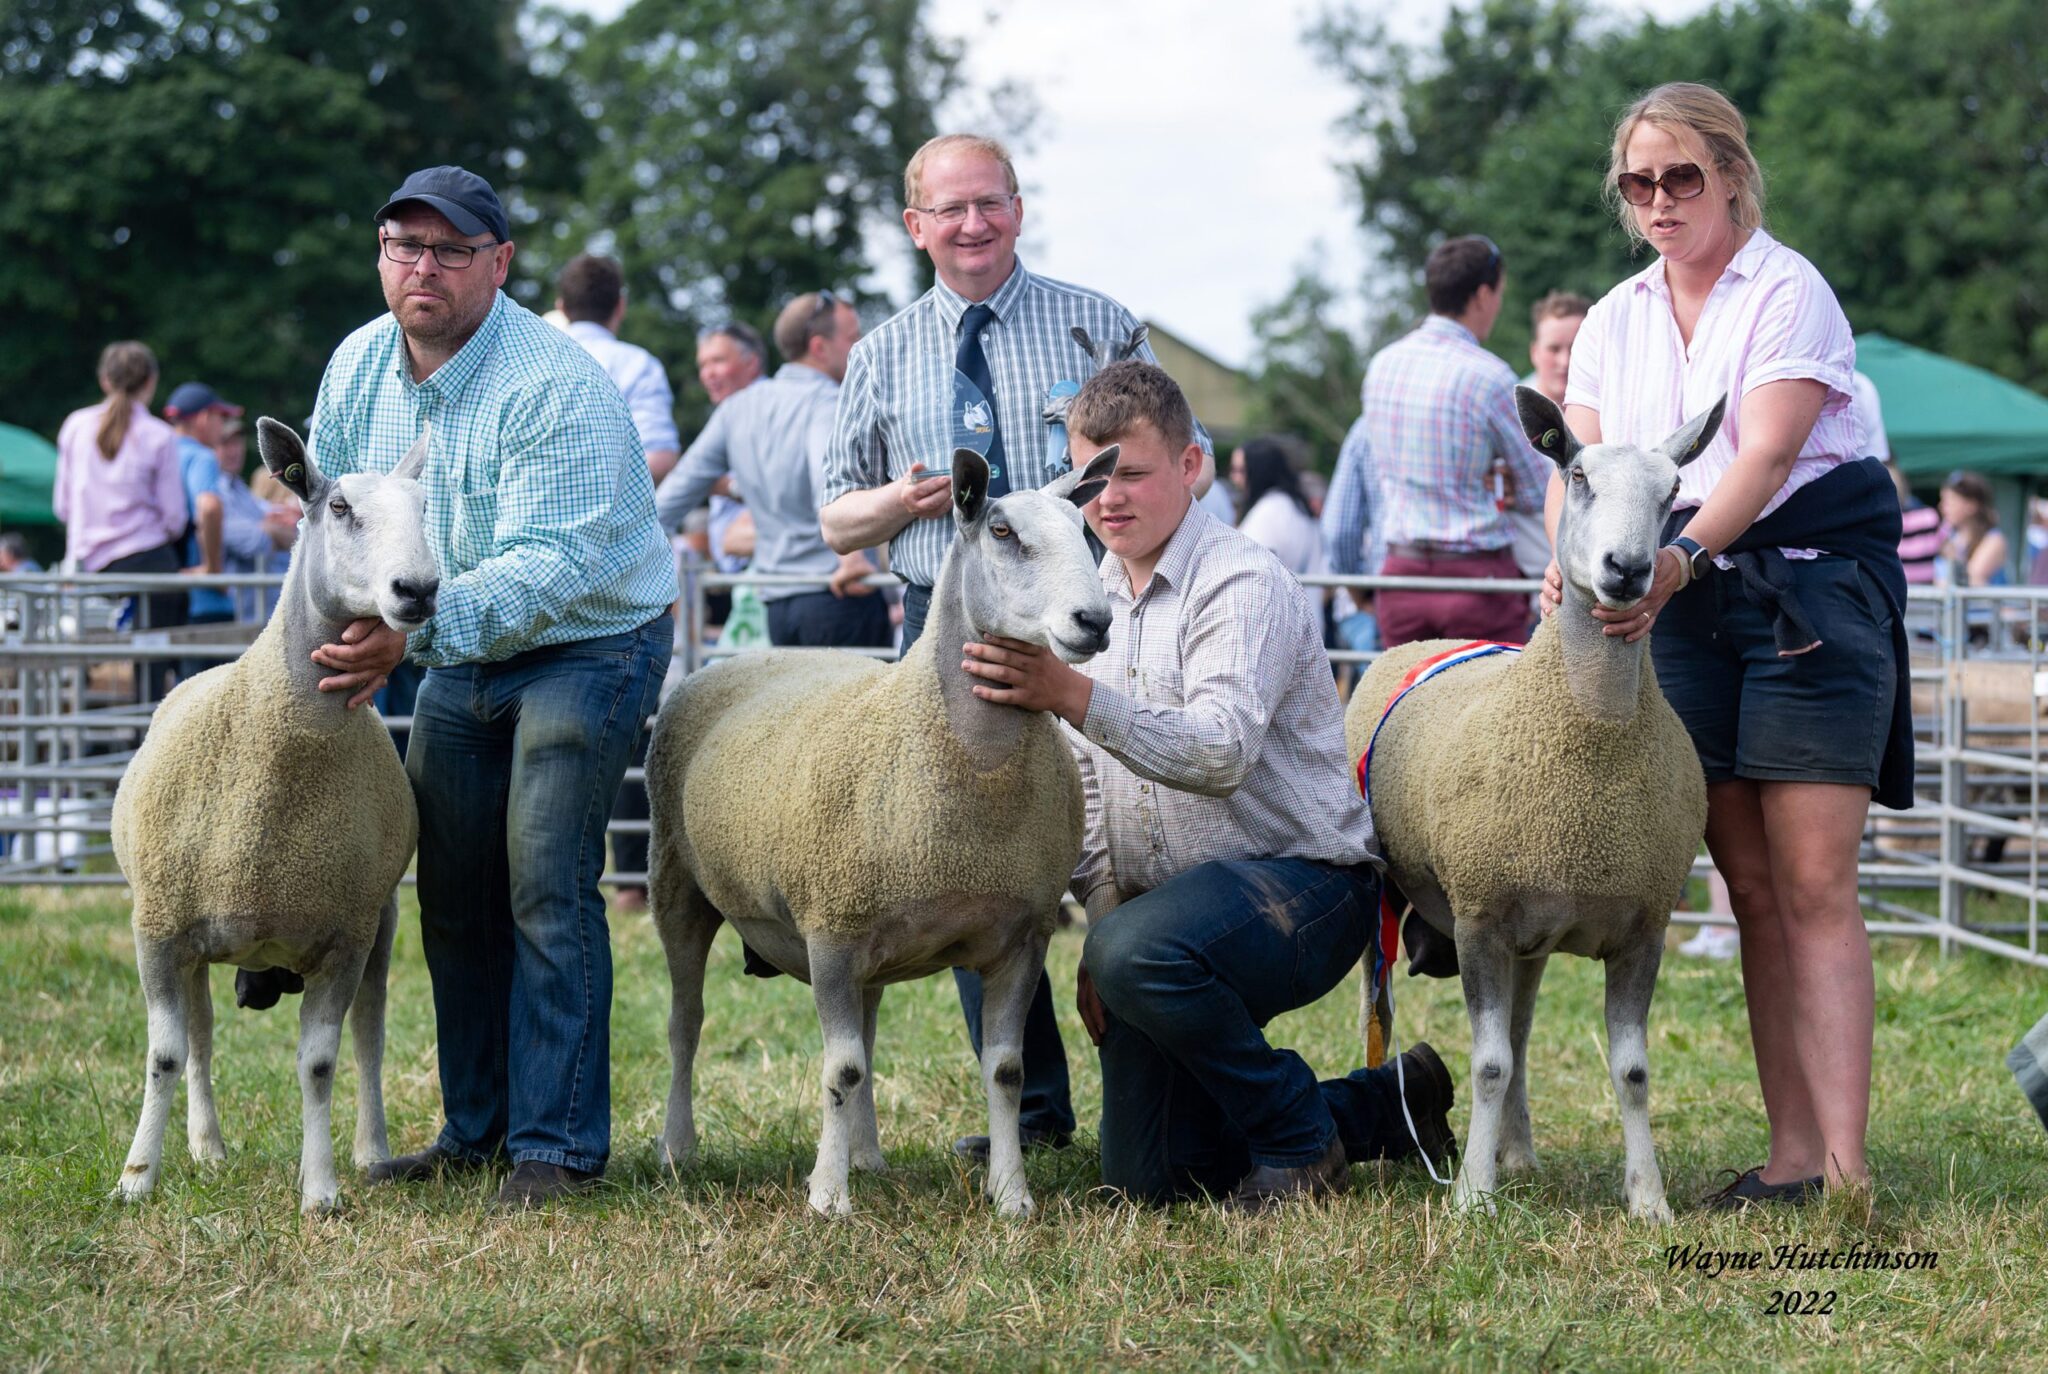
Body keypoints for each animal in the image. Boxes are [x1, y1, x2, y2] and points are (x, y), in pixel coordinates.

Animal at [111, 419, 436, 1212]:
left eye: (425, 507)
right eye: (340, 507)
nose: (417, 591)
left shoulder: (345, 936)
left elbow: (319, 1063)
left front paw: (319, 1190)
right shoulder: (158, 925)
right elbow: (163, 1053)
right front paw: (137, 1177)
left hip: (380, 921)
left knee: (370, 1034)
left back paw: (371, 1151)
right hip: (197, 935)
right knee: (199, 1036)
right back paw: (207, 1146)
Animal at [647, 440, 1122, 1212]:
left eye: (1088, 533)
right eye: (1002, 532)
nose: (1095, 621)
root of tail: (740, 654)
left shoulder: (1022, 936)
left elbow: (1006, 1072)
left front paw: (1011, 1196)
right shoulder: (830, 931)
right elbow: (838, 1070)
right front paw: (827, 1198)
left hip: (867, 925)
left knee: (865, 1037)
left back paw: (867, 1155)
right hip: (678, 883)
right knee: (686, 1024)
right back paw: (678, 1147)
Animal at [1351, 389, 1720, 1228]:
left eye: (1673, 492)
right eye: (1577, 475)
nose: (1628, 570)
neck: (1593, 738)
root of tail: (1428, 638)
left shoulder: (1643, 926)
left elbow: (1630, 1071)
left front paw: (1649, 1200)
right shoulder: (1479, 916)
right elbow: (1487, 1063)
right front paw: (1472, 1200)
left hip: (1536, 930)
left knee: (1519, 1030)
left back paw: (1517, 1152)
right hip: (1398, 898)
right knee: (1385, 1015)